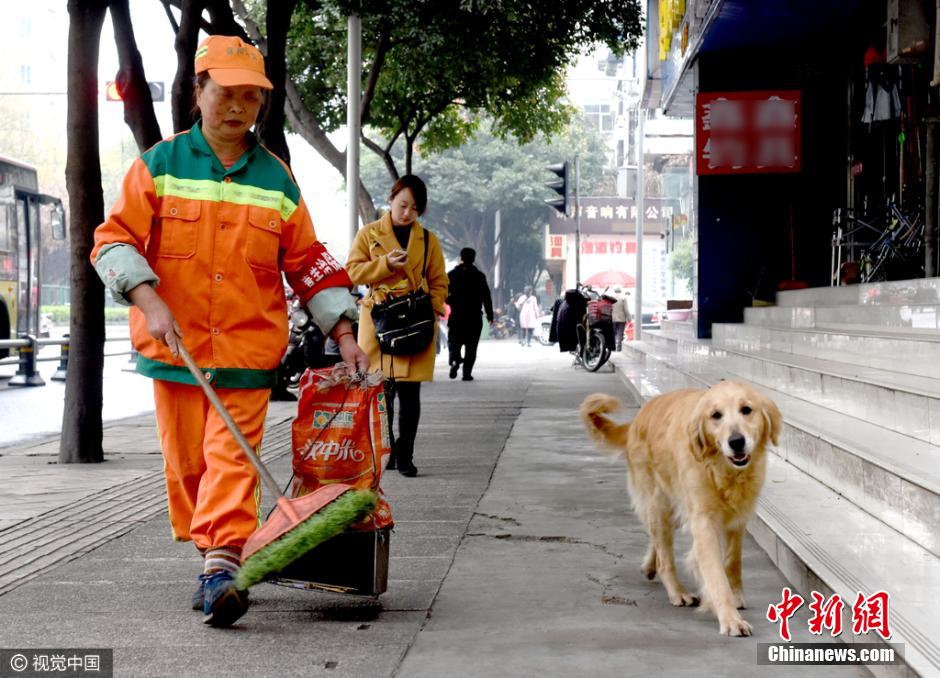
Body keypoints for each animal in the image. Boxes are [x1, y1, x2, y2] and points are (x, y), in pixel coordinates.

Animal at [584, 382, 784, 636]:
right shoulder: (703, 522)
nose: (736, 441)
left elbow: (733, 561)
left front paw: (736, 594)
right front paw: (731, 618)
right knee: (664, 557)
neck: (722, 469)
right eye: (715, 415)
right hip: (659, 502)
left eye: (746, 410)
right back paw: (677, 591)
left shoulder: (739, 517)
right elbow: (715, 575)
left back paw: (649, 565)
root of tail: (638, 418)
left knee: (656, 540)